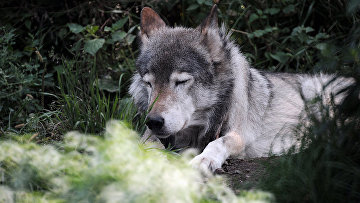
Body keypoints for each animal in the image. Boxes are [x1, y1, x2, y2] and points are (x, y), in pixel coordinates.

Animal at [129, 4, 352, 172]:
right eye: (149, 83)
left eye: (181, 82)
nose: (154, 121)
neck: (197, 129)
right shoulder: (151, 135)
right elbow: (145, 145)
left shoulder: (238, 135)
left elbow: (217, 143)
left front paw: (204, 159)